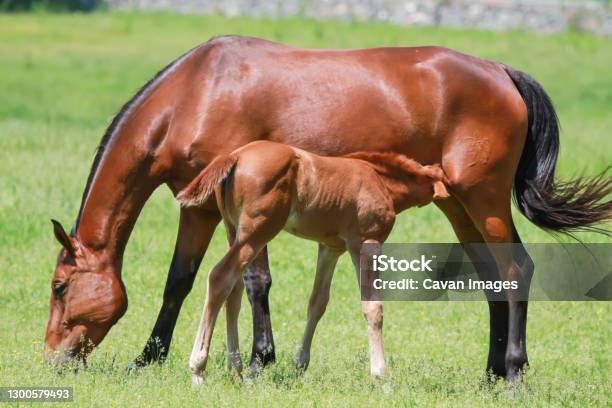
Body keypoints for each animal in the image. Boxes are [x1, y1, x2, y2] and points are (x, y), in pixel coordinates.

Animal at [175, 141, 452, 382]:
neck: (380, 181)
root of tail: (235, 156)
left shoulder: (330, 248)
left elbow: (317, 302)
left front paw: (300, 365)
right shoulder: (365, 244)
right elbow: (373, 308)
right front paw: (381, 376)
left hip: (234, 231)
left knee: (233, 291)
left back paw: (235, 368)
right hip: (256, 232)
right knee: (219, 277)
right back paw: (198, 370)